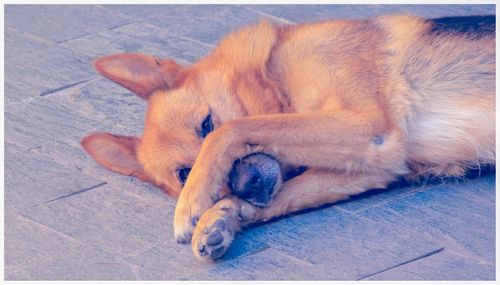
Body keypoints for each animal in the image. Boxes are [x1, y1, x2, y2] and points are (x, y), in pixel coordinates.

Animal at [80, 14, 494, 260]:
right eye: (182, 173)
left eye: (206, 124)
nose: (246, 183)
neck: (276, 76)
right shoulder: (377, 166)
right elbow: (278, 197)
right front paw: (220, 218)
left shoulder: (368, 125)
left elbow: (239, 128)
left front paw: (193, 206)